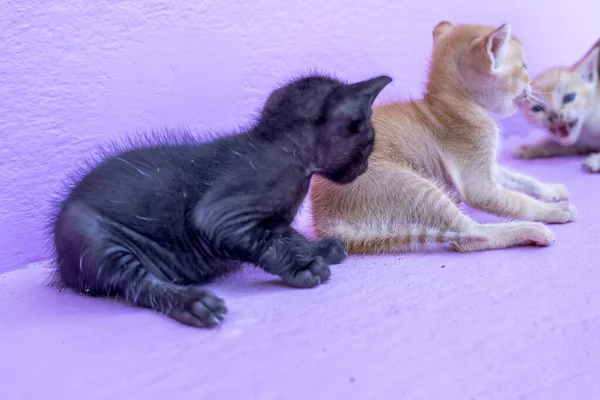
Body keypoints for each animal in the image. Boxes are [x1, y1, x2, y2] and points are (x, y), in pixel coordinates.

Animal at [50, 73, 390, 326]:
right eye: (369, 140)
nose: (364, 168)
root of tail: (62, 269)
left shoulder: (273, 221)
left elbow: (285, 235)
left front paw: (316, 249)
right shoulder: (225, 213)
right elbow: (265, 243)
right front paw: (301, 267)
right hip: (90, 234)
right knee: (138, 284)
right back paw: (192, 302)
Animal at [310, 21, 576, 253]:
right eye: (524, 67)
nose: (531, 85)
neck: (454, 105)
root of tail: (325, 222)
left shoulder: (489, 166)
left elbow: (519, 179)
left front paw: (550, 189)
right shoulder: (478, 181)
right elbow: (517, 201)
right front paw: (551, 209)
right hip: (412, 186)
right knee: (470, 237)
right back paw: (531, 230)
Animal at [516, 39, 600, 172]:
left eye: (569, 98)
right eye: (538, 108)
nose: (555, 114)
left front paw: (596, 161)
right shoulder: (579, 143)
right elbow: (555, 144)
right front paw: (530, 148)